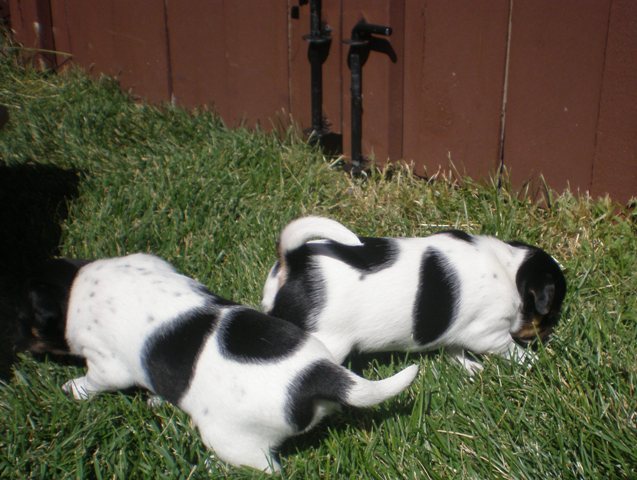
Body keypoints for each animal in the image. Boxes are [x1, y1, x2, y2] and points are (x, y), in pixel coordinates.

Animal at [28, 255, 418, 472]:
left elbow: (93, 381)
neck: (76, 284)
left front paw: (72, 389)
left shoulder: (106, 364)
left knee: (266, 468)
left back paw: (212, 466)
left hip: (232, 439)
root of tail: (316, 374)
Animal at [260, 216, 564, 374]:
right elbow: (511, 349)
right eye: (550, 315)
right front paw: (534, 361)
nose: (548, 336)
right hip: (328, 343)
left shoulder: (456, 331)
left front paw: (469, 367)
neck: (511, 270)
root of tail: (294, 260)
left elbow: (454, 349)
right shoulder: (489, 333)